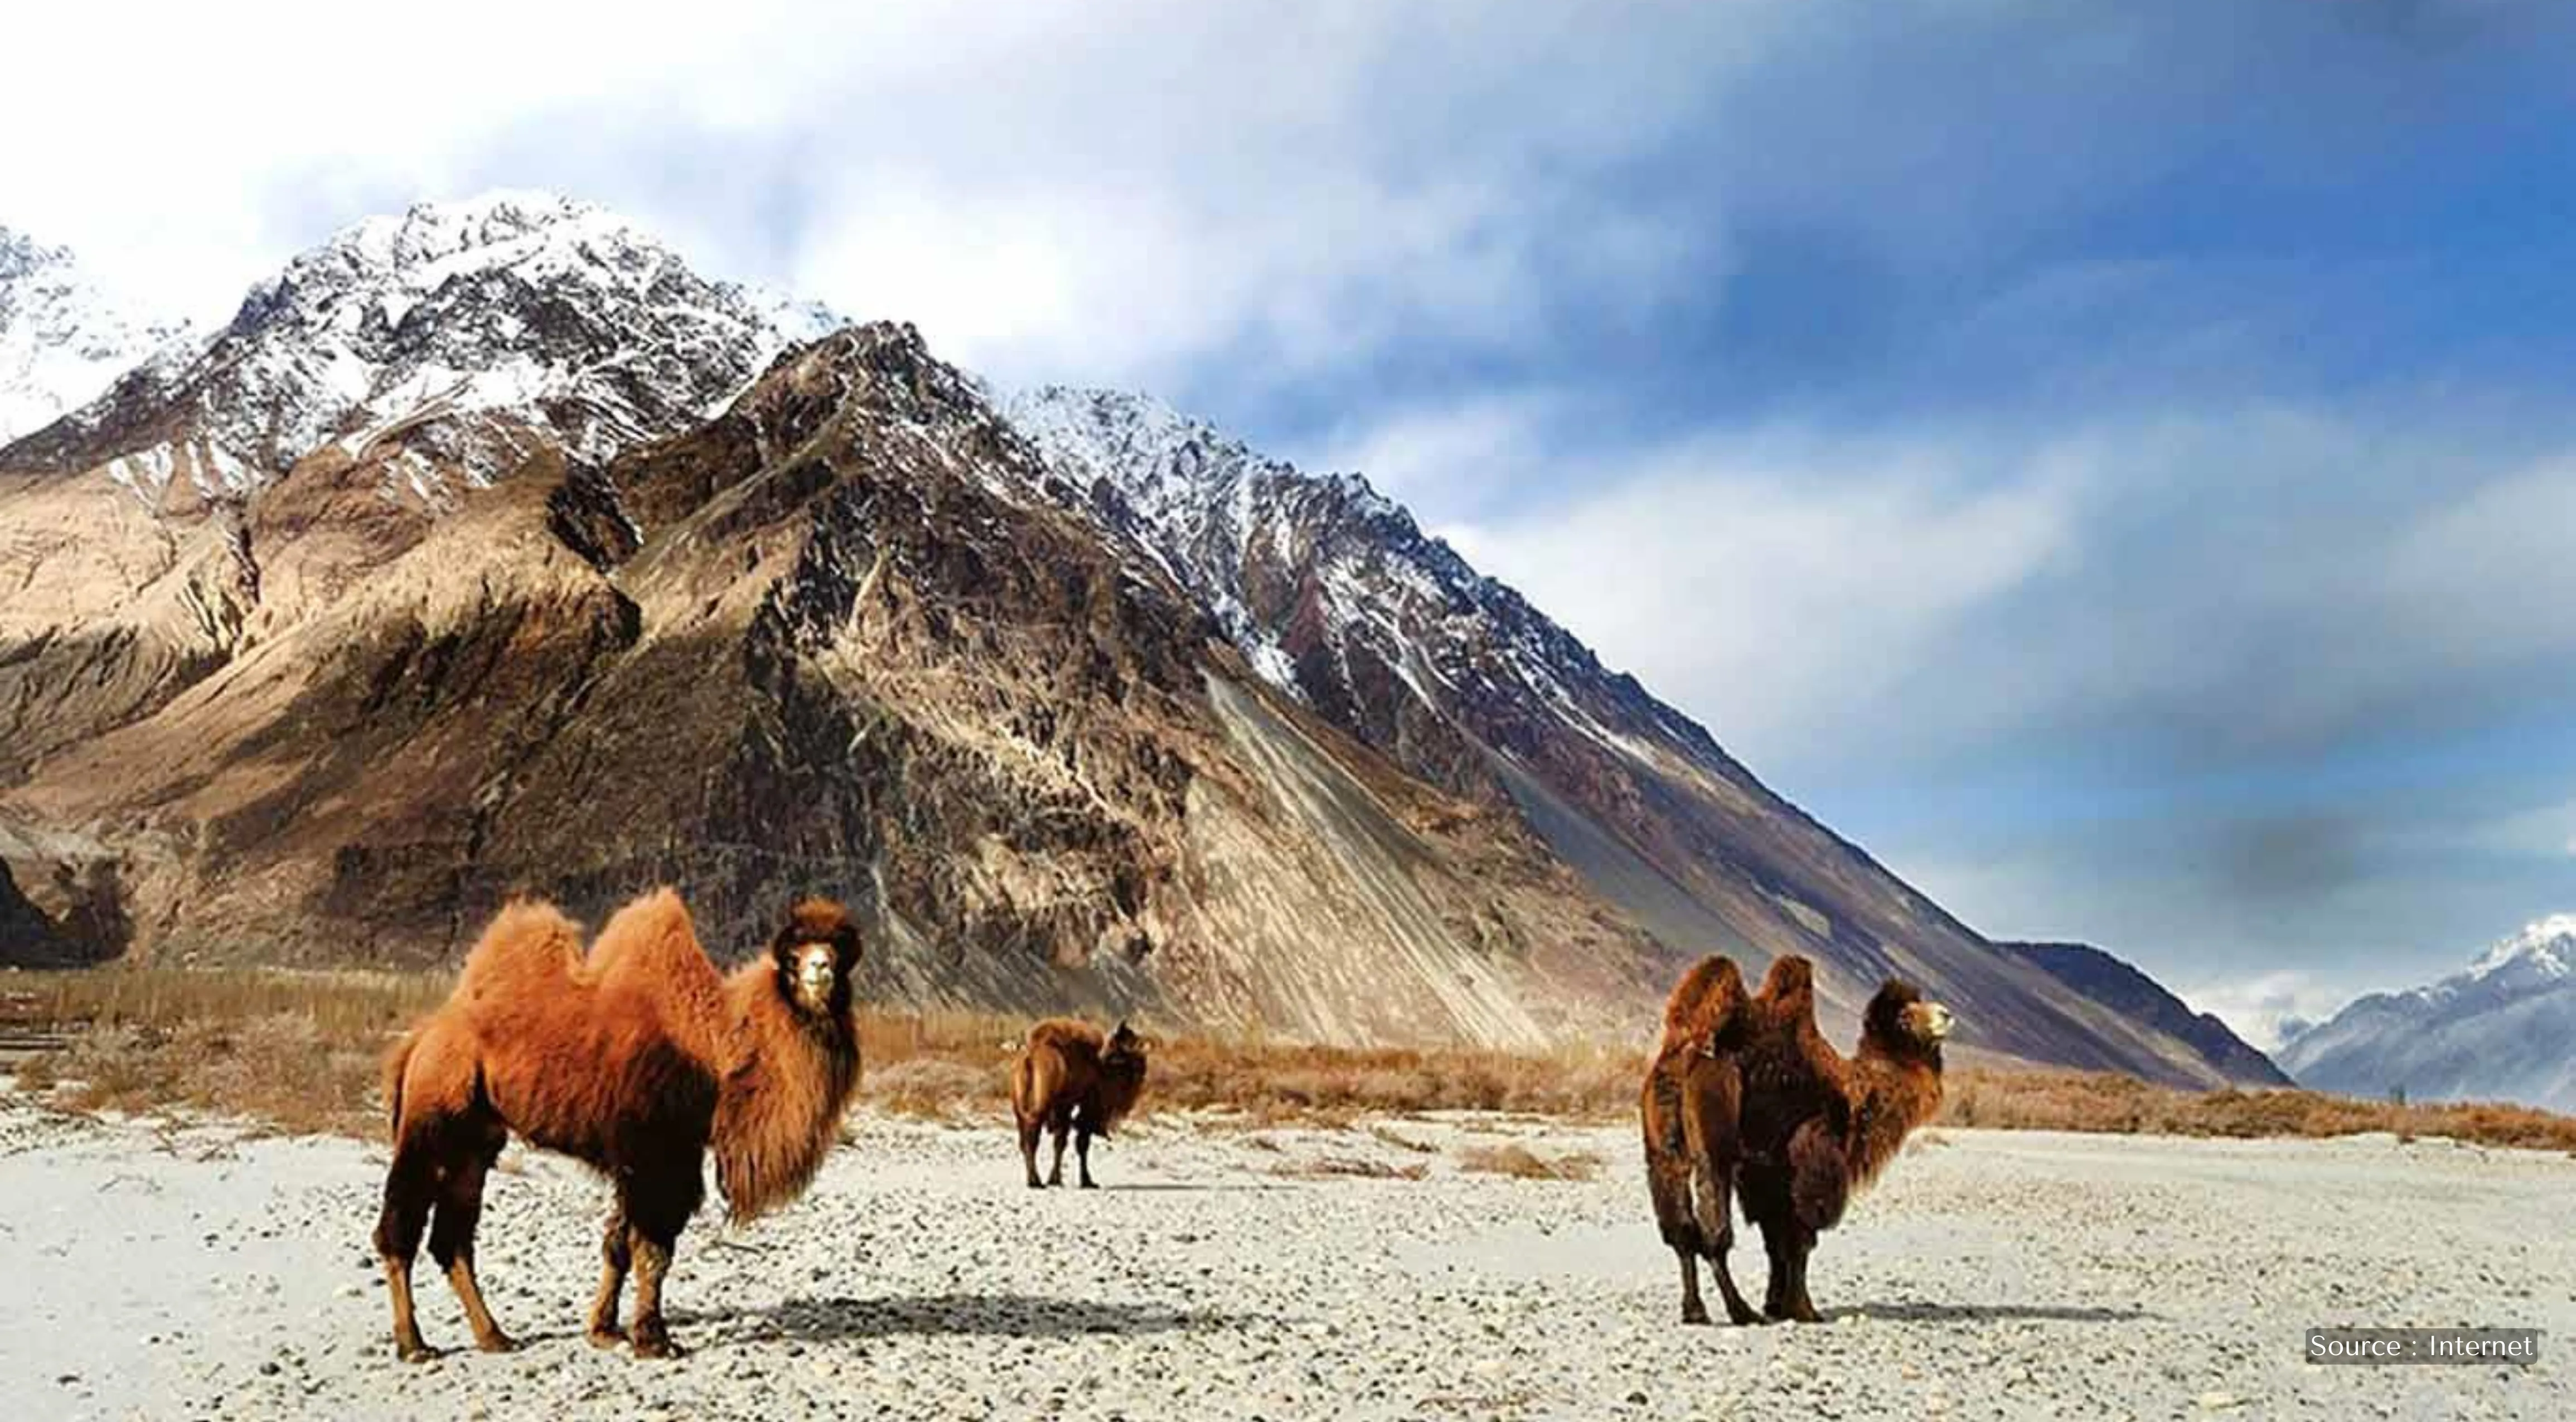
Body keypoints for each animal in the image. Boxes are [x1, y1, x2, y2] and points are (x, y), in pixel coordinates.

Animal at [374, 890, 863, 1362]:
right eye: (793, 956)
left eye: (839, 953)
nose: (821, 969)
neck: (714, 1047)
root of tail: (420, 1039)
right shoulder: (657, 1155)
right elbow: (653, 1250)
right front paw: (654, 1340)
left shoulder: (639, 1161)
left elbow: (618, 1244)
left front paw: (605, 1331)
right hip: (432, 1115)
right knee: (399, 1227)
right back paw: (414, 1344)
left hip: (476, 1142)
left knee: (452, 1238)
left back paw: (494, 1336)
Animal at [1010, 1018, 1148, 1189]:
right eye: (1129, 1044)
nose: (1142, 1064)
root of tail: (1030, 1056)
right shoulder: (1082, 1110)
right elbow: (1077, 1144)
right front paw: (1083, 1181)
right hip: (1040, 1111)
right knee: (1033, 1140)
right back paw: (1036, 1181)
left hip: (1020, 1111)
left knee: (1025, 1142)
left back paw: (1033, 1180)